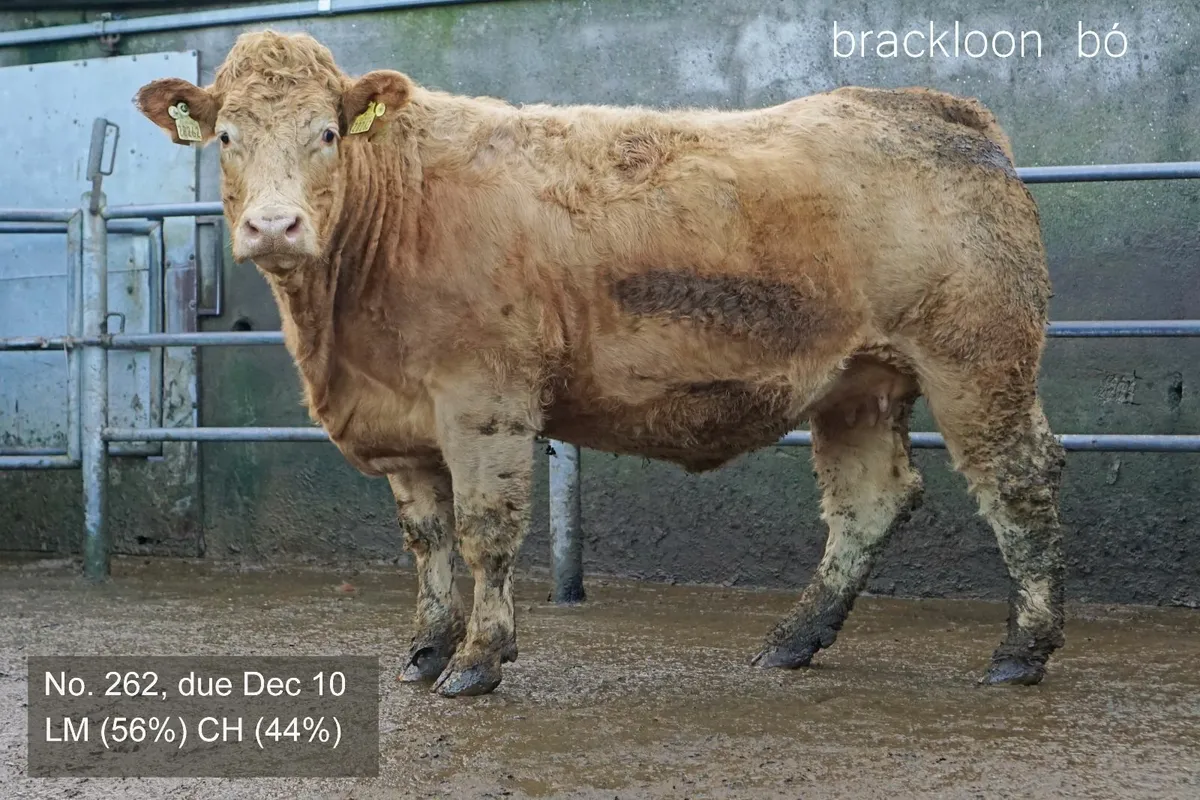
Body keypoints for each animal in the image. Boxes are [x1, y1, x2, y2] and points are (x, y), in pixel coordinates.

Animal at [135, 30, 1066, 698]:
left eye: (326, 133)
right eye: (225, 136)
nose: (274, 226)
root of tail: (931, 107)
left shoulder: (484, 399)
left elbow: (485, 531)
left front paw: (477, 661)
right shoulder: (402, 425)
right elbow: (428, 541)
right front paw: (425, 650)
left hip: (979, 362)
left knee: (1019, 485)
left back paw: (1023, 650)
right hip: (858, 384)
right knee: (871, 502)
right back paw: (791, 642)